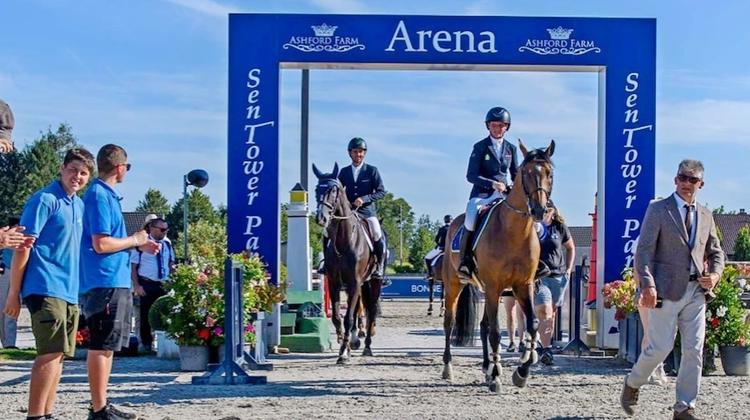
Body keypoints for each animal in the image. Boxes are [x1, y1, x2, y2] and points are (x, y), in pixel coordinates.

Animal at [312, 162, 382, 362]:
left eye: (334, 190)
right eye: (316, 189)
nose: (321, 218)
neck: (345, 240)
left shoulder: (354, 282)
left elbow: (349, 317)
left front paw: (344, 352)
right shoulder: (335, 282)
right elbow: (337, 317)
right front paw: (345, 347)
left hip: (373, 282)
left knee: (371, 311)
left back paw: (367, 346)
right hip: (362, 284)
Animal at [440, 139, 560, 392]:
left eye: (550, 173)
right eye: (526, 173)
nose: (539, 210)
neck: (514, 232)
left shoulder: (523, 286)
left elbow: (532, 325)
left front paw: (521, 373)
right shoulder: (495, 287)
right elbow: (496, 331)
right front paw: (496, 377)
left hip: (487, 290)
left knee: (484, 325)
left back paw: (487, 367)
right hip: (455, 285)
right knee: (450, 323)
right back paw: (449, 368)